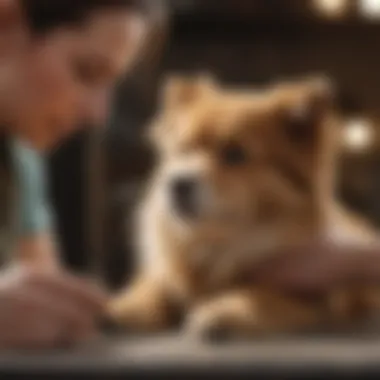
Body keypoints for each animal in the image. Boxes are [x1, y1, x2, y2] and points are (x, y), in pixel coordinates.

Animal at [107, 75, 380, 342]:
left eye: (235, 154)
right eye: (183, 150)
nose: (178, 183)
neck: (218, 245)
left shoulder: (310, 290)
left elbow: (261, 294)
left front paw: (225, 310)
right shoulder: (168, 270)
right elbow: (154, 285)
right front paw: (124, 307)